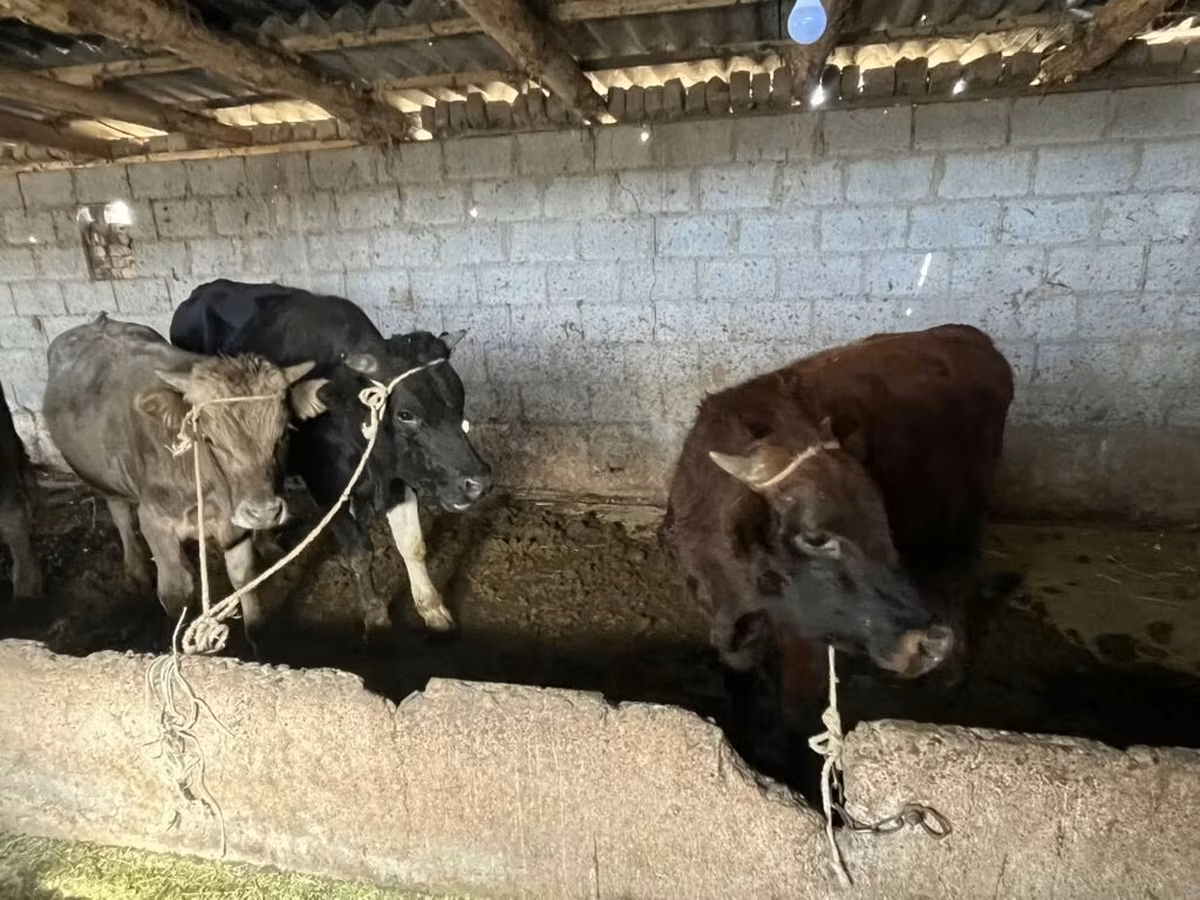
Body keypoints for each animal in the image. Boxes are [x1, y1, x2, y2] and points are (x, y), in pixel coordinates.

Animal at [43, 314, 323, 649]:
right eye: (210, 439)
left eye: (282, 435)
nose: (264, 512)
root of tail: (98, 322)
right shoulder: (155, 520)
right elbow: (175, 590)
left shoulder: (234, 522)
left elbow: (243, 575)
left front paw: (257, 639)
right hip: (98, 477)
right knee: (120, 512)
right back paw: (136, 570)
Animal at [169, 279, 492, 639]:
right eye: (407, 414)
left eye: (459, 400)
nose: (478, 482)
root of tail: (198, 292)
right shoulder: (327, 487)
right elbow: (359, 553)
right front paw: (376, 618)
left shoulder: (398, 477)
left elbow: (413, 545)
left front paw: (433, 610)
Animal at [665, 324, 1014, 752]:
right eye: (815, 537)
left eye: (880, 517)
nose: (929, 644)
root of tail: (963, 334)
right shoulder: (726, 626)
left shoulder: (808, 642)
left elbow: (798, 713)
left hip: (961, 523)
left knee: (956, 585)